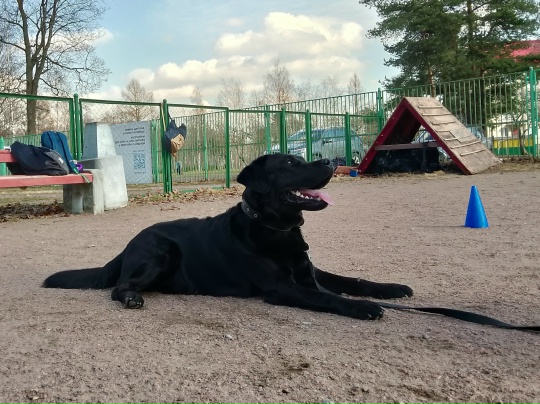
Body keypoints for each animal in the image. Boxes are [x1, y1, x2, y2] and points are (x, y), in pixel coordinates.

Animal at [44, 153, 413, 320]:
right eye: (290, 164)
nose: (332, 161)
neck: (275, 229)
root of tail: (128, 245)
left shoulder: (312, 272)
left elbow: (352, 281)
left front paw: (391, 289)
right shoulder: (281, 287)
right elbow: (327, 297)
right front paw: (363, 307)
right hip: (162, 251)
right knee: (120, 286)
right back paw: (132, 297)